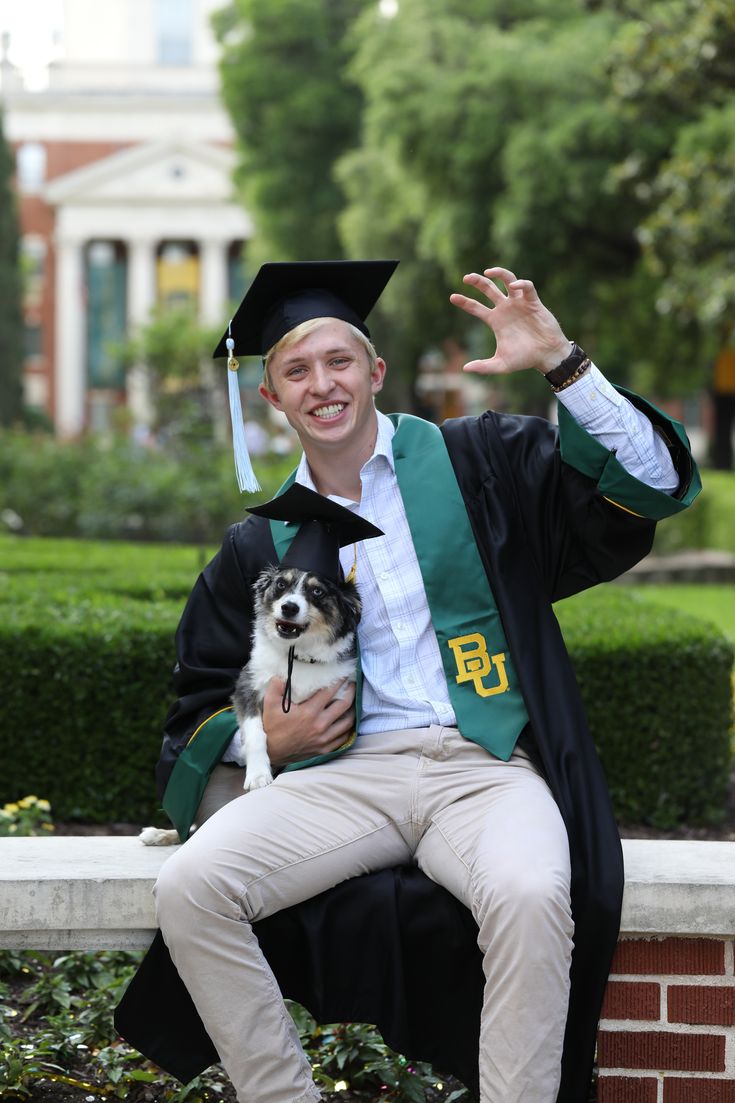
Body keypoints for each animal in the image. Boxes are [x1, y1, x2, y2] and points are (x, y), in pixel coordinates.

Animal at [139, 564, 359, 847]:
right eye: (280, 585)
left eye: (318, 591)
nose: (289, 607)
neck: (297, 656)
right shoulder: (247, 688)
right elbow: (255, 734)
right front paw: (257, 774)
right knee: (196, 831)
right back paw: (159, 834)